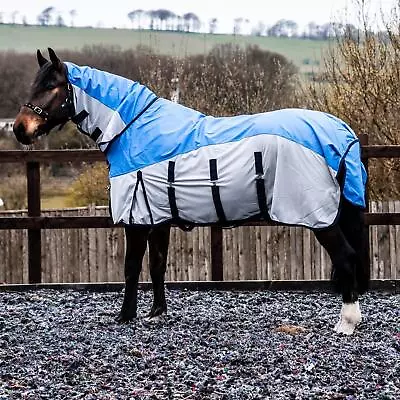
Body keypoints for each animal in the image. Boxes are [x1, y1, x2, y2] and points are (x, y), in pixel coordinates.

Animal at [11, 47, 368, 334]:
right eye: (34, 84)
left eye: (51, 86)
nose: (19, 129)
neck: (133, 129)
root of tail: (340, 131)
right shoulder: (157, 218)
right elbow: (157, 264)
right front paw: (157, 313)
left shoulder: (136, 219)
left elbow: (131, 267)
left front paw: (125, 316)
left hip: (320, 216)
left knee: (346, 257)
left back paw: (346, 323)